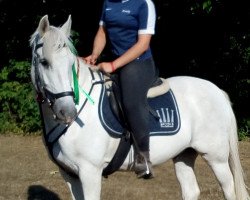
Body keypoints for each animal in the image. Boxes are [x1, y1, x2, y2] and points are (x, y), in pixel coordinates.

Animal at [29, 14, 250, 199]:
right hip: (183, 153)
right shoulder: (69, 175)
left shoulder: (90, 172)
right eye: (44, 62)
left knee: (229, 189)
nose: (67, 112)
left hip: (216, 157)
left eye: (70, 65)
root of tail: (217, 91)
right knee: (191, 190)